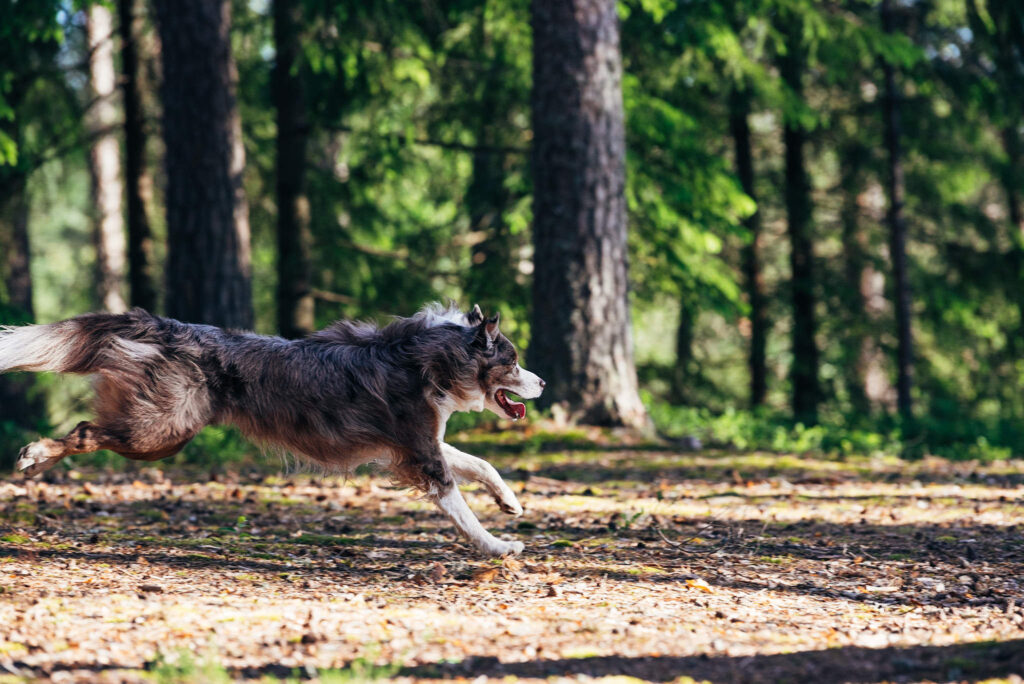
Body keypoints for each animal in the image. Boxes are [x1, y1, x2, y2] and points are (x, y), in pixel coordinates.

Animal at [0, 305, 544, 557]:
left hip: (161, 432)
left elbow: (480, 463)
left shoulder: (413, 445)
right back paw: (33, 454)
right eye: (513, 360)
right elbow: (461, 509)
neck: (436, 359)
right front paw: (498, 547)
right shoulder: (420, 452)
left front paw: (510, 501)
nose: (541, 382)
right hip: (160, 432)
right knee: (86, 432)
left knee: (89, 429)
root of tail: (172, 328)